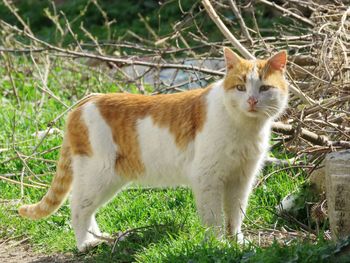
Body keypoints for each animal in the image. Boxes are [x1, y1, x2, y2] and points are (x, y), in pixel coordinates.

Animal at [17, 48, 288, 254]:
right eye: (241, 87)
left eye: (264, 88)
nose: (252, 101)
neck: (244, 127)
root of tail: (85, 100)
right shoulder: (207, 178)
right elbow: (213, 218)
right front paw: (218, 244)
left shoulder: (241, 179)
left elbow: (235, 213)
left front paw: (237, 241)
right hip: (98, 174)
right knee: (77, 207)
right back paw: (85, 244)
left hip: (109, 179)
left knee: (86, 207)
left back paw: (98, 238)